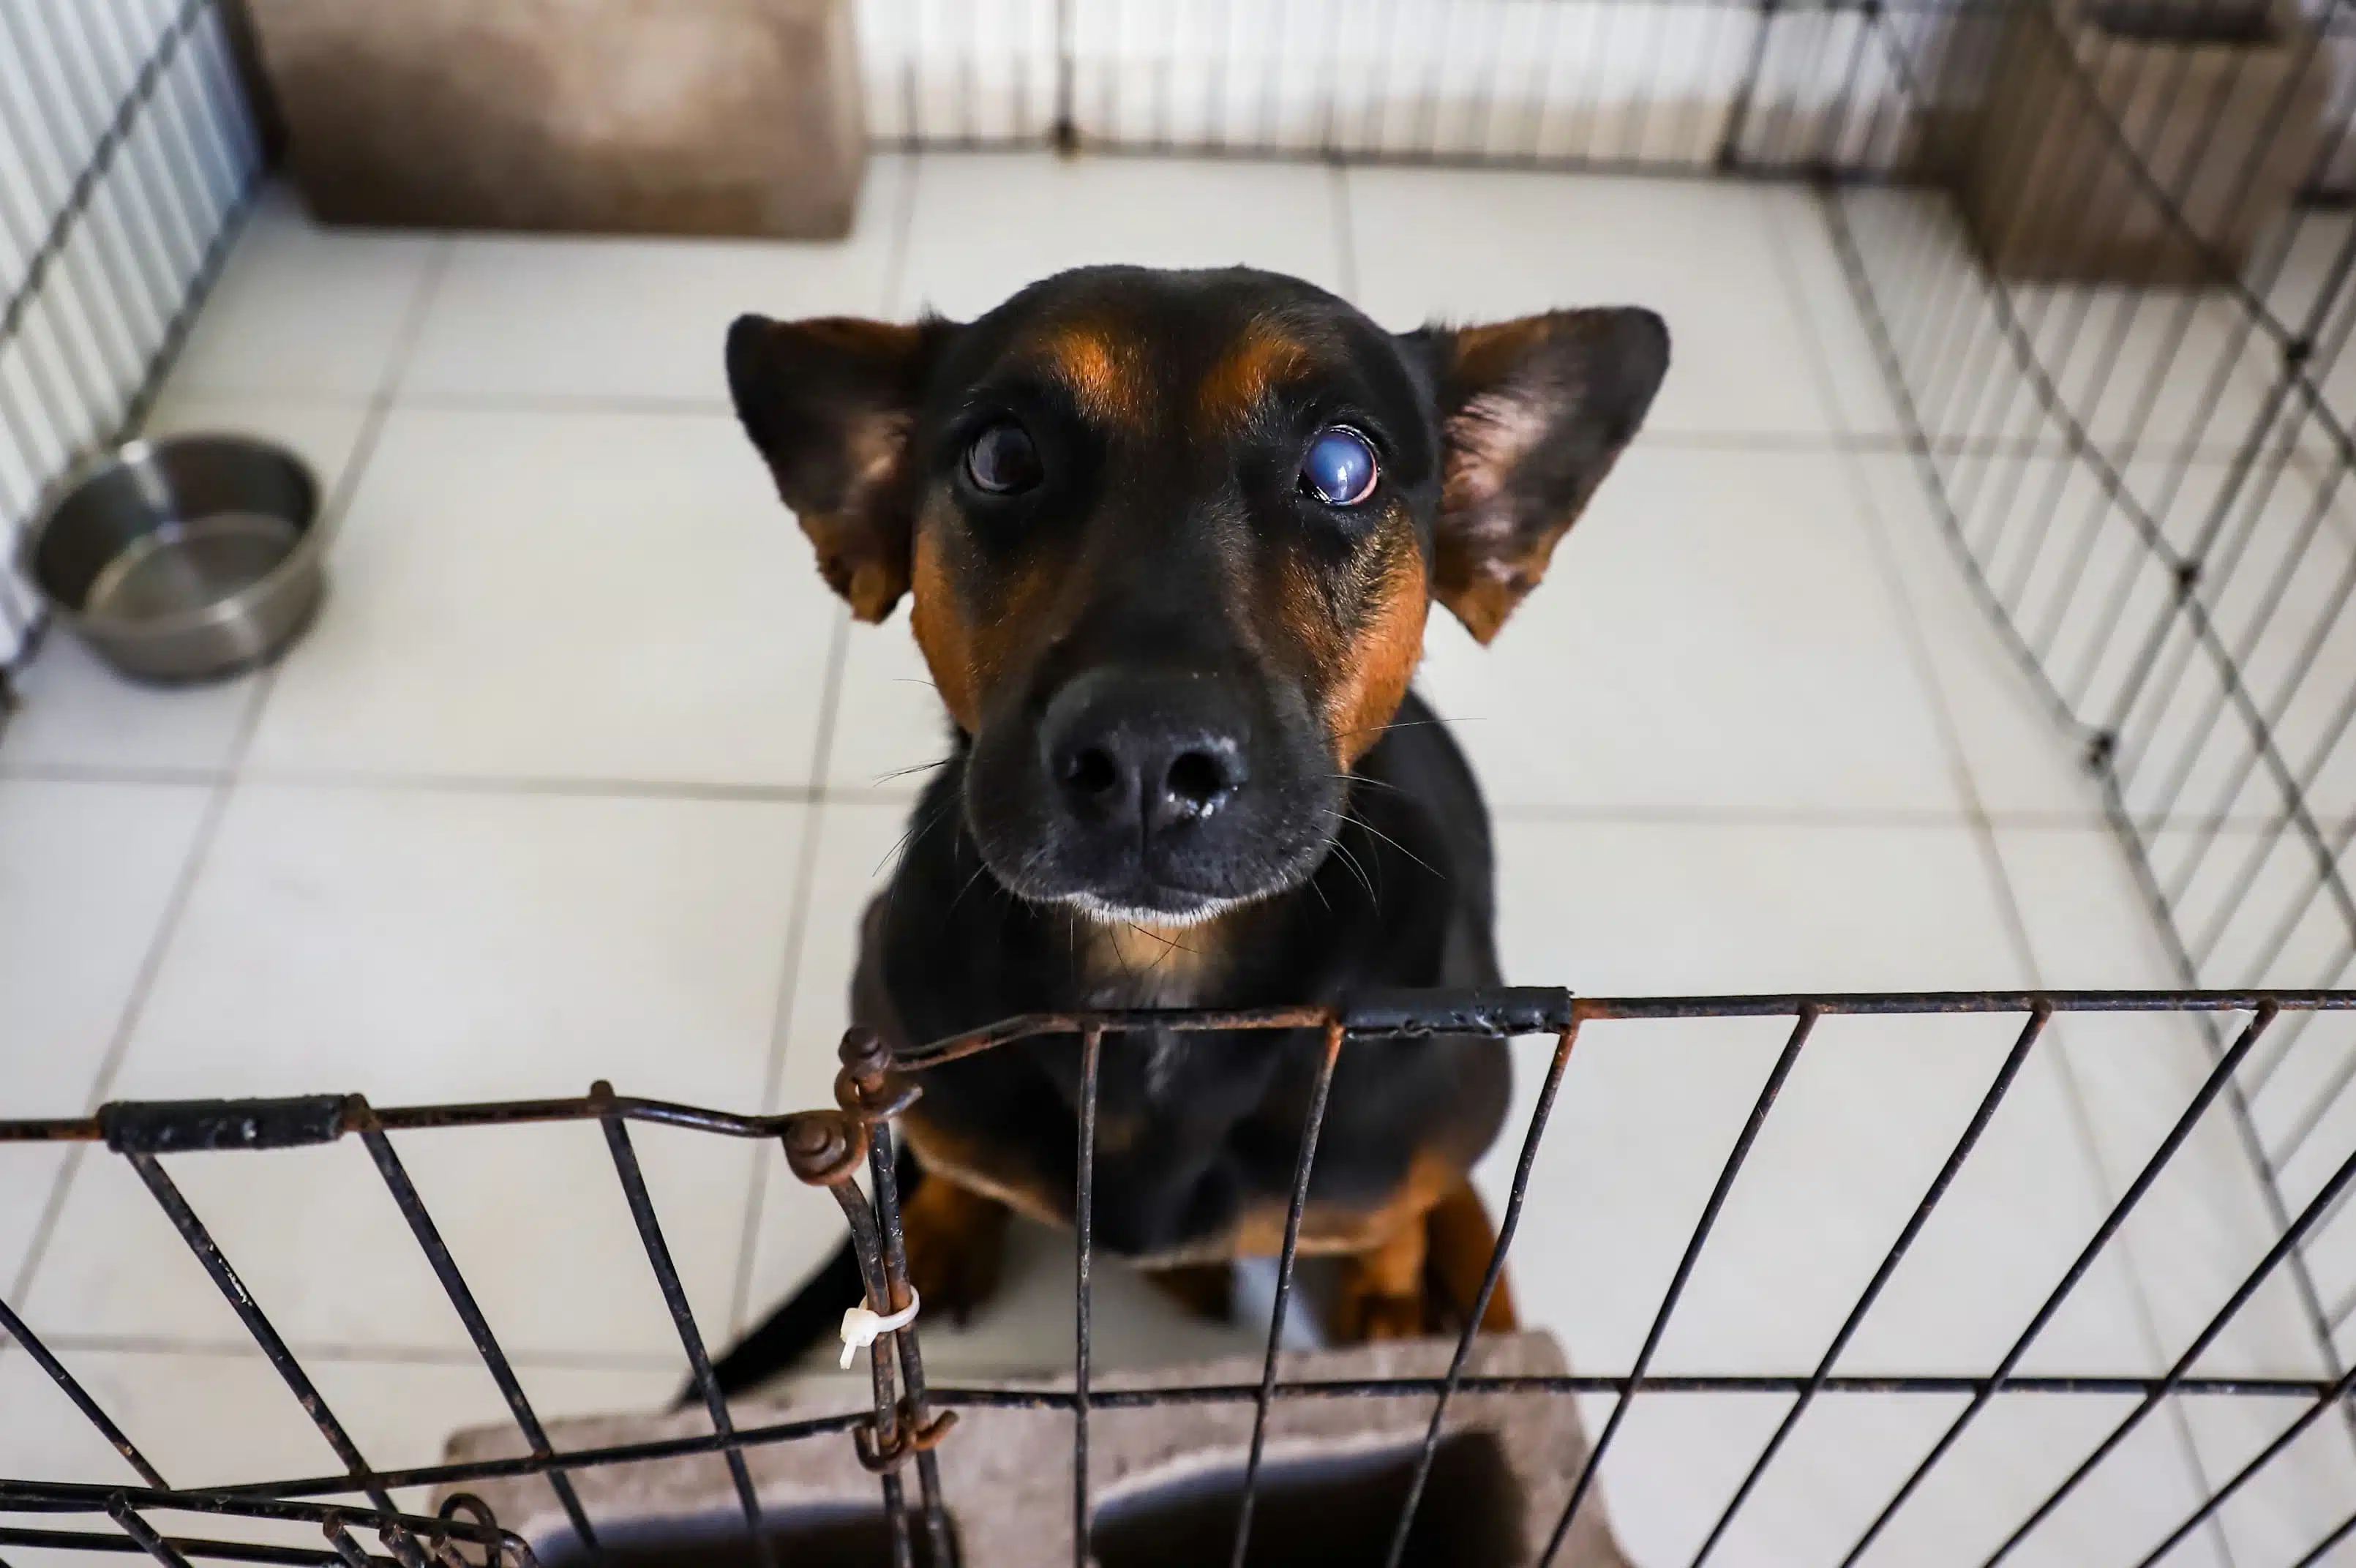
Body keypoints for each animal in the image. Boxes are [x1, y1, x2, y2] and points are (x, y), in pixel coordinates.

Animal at [707, 258, 1667, 1393]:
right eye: (1001, 457)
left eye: (1344, 466)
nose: (1146, 758)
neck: (1158, 990)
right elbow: (947, 1162)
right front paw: (940, 1225)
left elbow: (1395, 1214)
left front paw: (1389, 1301)